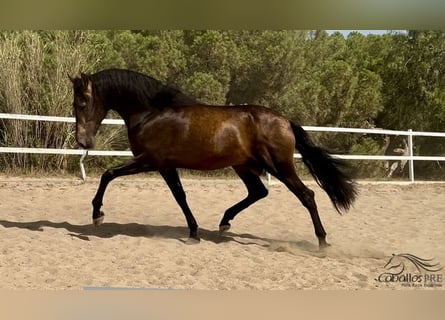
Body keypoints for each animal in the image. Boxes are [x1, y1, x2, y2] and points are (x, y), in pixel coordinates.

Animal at [69, 69, 356, 249]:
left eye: (82, 102)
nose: (83, 142)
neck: (152, 112)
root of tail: (285, 121)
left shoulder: (151, 160)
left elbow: (108, 174)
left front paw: (97, 214)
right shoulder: (166, 166)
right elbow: (180, 196)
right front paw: (194, 233)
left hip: (279, 167)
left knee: (307, 195)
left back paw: (322, 242)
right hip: (243, 166)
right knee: (259, 192)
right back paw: (225, 222)